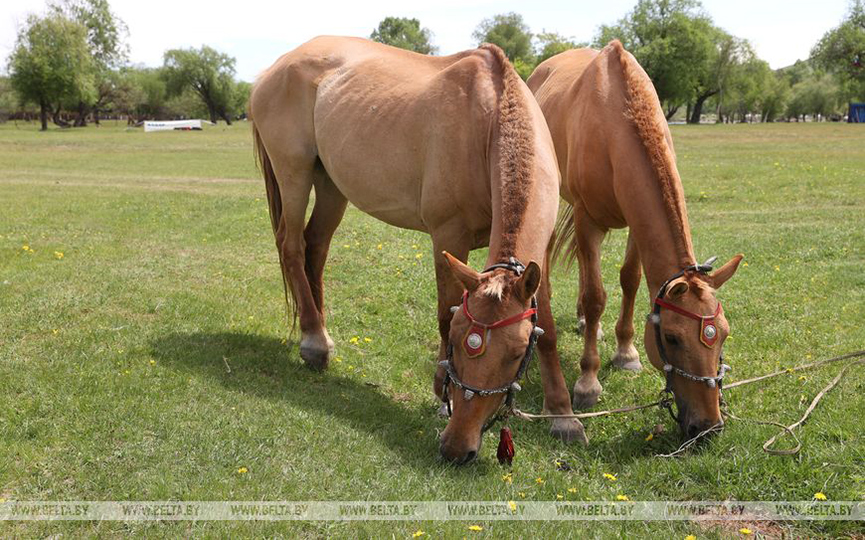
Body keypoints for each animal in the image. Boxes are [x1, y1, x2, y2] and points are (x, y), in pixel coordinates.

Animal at [250, 35, 588, 462]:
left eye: (515, 355)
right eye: (458, 344)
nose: (457, 447)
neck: (487, 123)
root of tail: (275, 67)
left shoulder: (536, 257)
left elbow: (548, 330)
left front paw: (564, 416)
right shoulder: (448, 236)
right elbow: (445, 312)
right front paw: (442, 395)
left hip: (330, 185)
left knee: (316, 247)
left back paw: (321, 333)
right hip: (293, 173)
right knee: (292, 246)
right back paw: (313, 344)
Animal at [528, 41, 744, 438]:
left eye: (722, 333)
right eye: (672, 338)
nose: (708, 425)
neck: (616, 118)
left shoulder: (635, 226)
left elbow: (629, 280)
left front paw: (626, 352)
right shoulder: (587, 220)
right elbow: (596, 296)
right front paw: (588, 382)